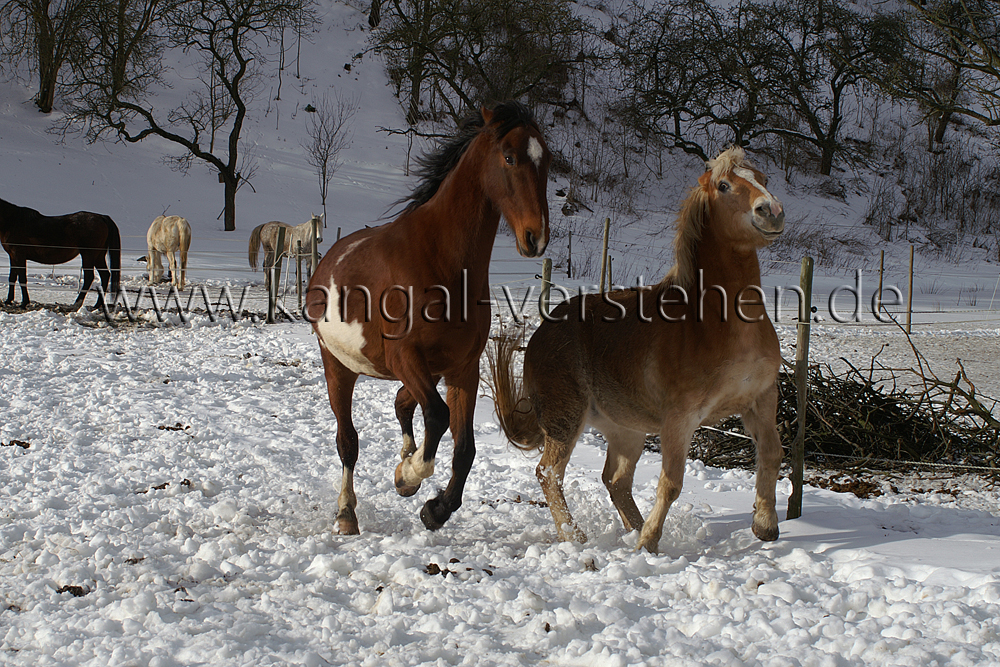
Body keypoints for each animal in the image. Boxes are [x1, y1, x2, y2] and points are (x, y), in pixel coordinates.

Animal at [306, 100, 556, 536]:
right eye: (509, 157)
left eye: (548, 161)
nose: (535, 237)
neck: (441, 261)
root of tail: (329, 258)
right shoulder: (405, 357)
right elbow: (438, 417)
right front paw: (408, 476)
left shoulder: (462, 368)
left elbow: (465, 448)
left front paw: (435, 507)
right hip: (339, 366)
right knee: (348, 441)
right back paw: (347, 512)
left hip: (424, 371)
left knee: (402, 405)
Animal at [488, 146, 784, 552]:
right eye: (724, 185)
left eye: (765, 179)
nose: (771, 211)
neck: (715, 321)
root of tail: (539, 336)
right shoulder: (679, 419)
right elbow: (671, 482)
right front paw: (649, 543)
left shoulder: (761, 399)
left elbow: (771, 454)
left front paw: (765, 525)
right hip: (567, 419)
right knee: (549, 472)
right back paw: (578, 536)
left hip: (625, 429)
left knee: (616, 482)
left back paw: (633, 530)